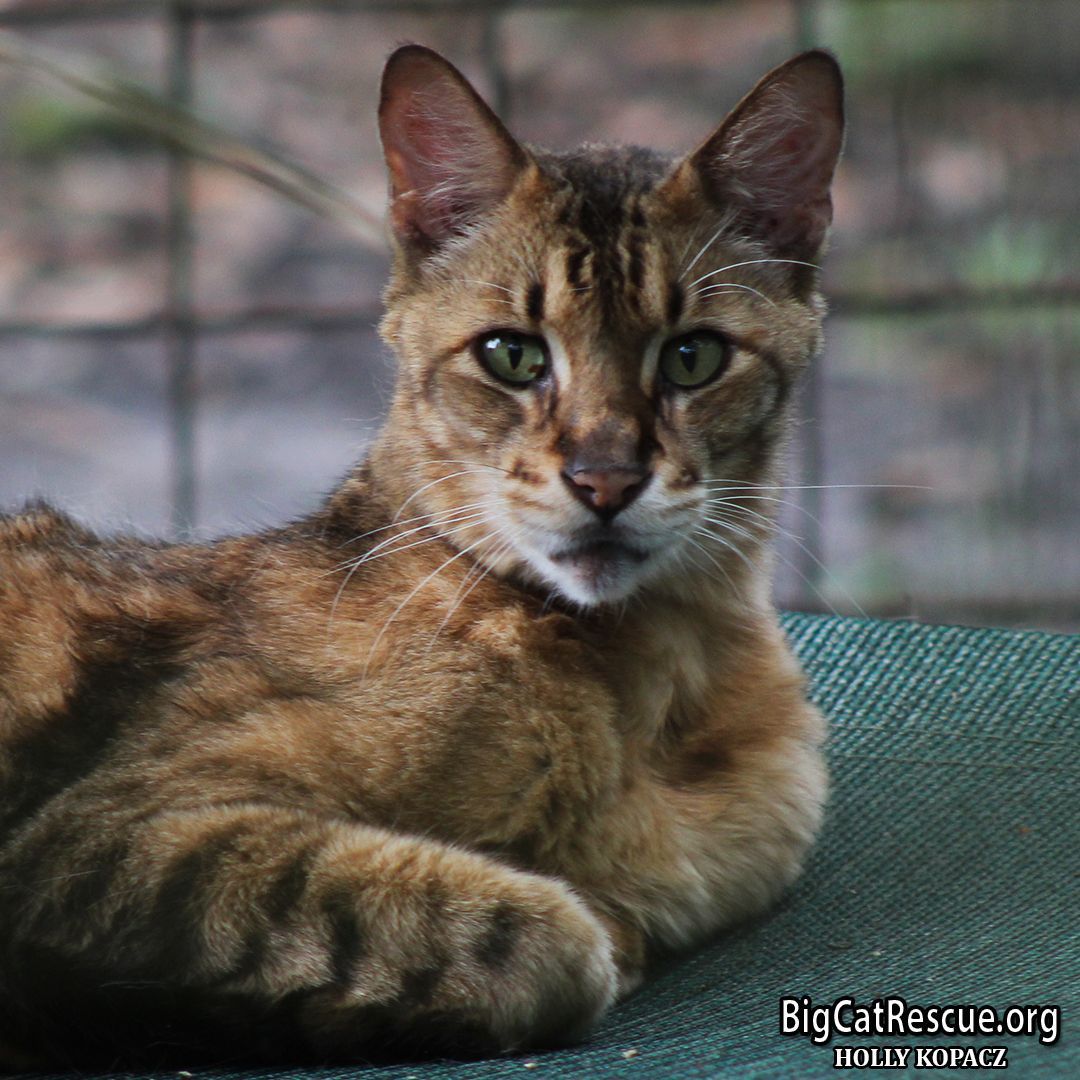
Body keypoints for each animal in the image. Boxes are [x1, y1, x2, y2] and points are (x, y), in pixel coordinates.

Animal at [0, 46, 842, 1067]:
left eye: (692, 358)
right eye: (513, 356)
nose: (605, 480)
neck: (653, 697)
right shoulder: (101, 834)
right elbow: (547, 941)